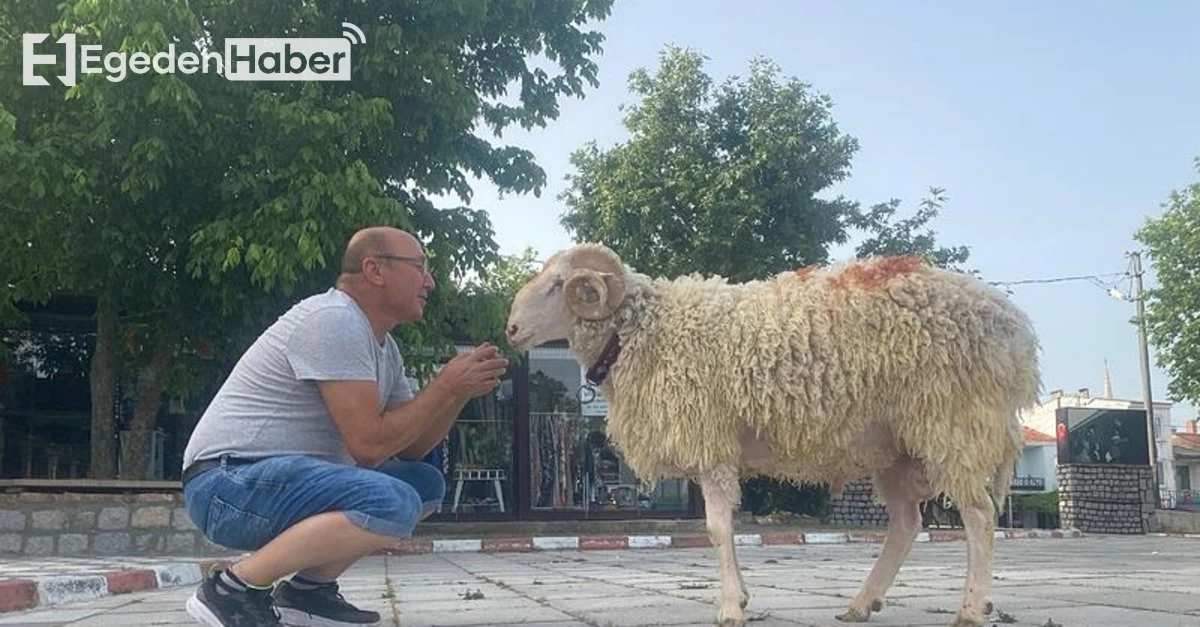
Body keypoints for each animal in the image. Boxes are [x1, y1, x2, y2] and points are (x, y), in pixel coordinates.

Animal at [501, 240, 1036, 624]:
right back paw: (860, 604)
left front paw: (730, 607)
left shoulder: (710, 443)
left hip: (951, 422)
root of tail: (1014, 328)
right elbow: (724, 529)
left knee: (978, 515)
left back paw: (971, 609)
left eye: (558, 285)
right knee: (906, 524)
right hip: (898, 449)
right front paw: (738, 599)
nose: (510, 330)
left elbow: (717, 529)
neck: (646, 332)